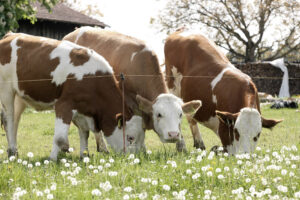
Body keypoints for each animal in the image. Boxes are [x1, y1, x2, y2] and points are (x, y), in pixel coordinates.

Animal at [0, 32, 145, 161]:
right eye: (130, 138)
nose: (134, 159)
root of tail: (9, 35)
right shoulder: (64, 104)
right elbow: (60, 138)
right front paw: (52, 159)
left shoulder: (83, 109)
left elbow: (85, 133)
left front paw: (84, 156)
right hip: (6, 90)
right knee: (9, 120)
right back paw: (12, 150)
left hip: (20, 95)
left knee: (15, 121)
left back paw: (14, 151)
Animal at [62, 26, 202, 152]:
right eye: (159, 114)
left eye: (180, 114)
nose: (173, 135)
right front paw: (142, 149)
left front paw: (182, 148)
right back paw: (100, 147)